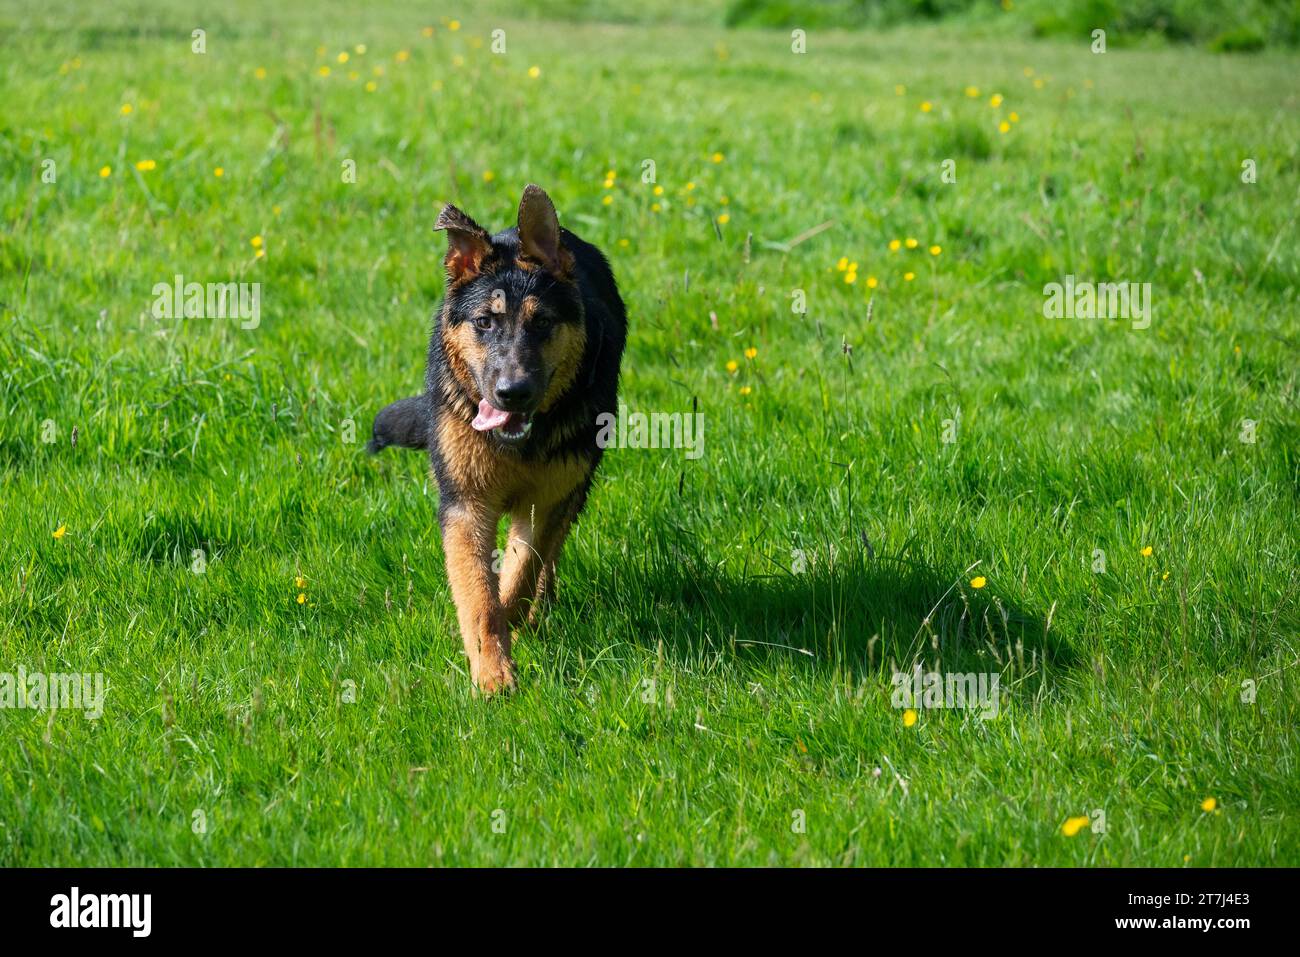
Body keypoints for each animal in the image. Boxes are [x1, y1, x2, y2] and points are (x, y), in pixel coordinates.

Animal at [369, 184, 626, 696]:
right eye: (485, 323)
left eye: (542, 323)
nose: (512, 392)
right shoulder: (466, 505)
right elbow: (478, 597)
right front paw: (492, 673)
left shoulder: (547, 501)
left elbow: (520, 573)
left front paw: (513, 627)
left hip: (576, 487)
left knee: (547, 560)